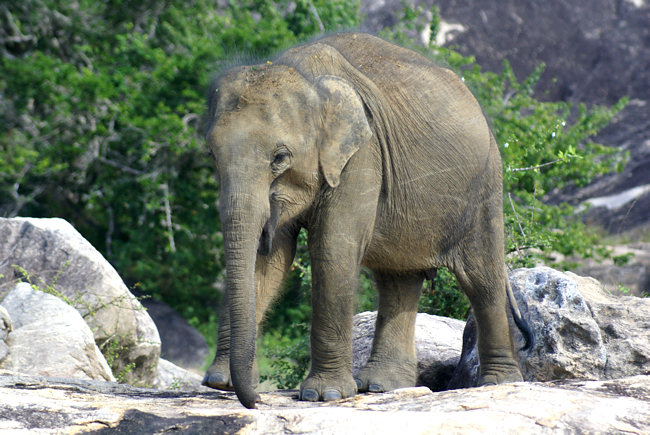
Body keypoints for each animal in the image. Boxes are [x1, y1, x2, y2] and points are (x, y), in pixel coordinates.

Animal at [202, 33, 532, 408]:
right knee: (398, 280)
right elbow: (268, 258)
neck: (304, 75)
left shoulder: (362, 156)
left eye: (280, 157)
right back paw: (381, 386)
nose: (256, 399)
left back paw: (499, 383)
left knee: (482, 277)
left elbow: (333, 249)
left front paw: (324, 395)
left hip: (485, 185)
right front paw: (221, 383)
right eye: (211, 154)